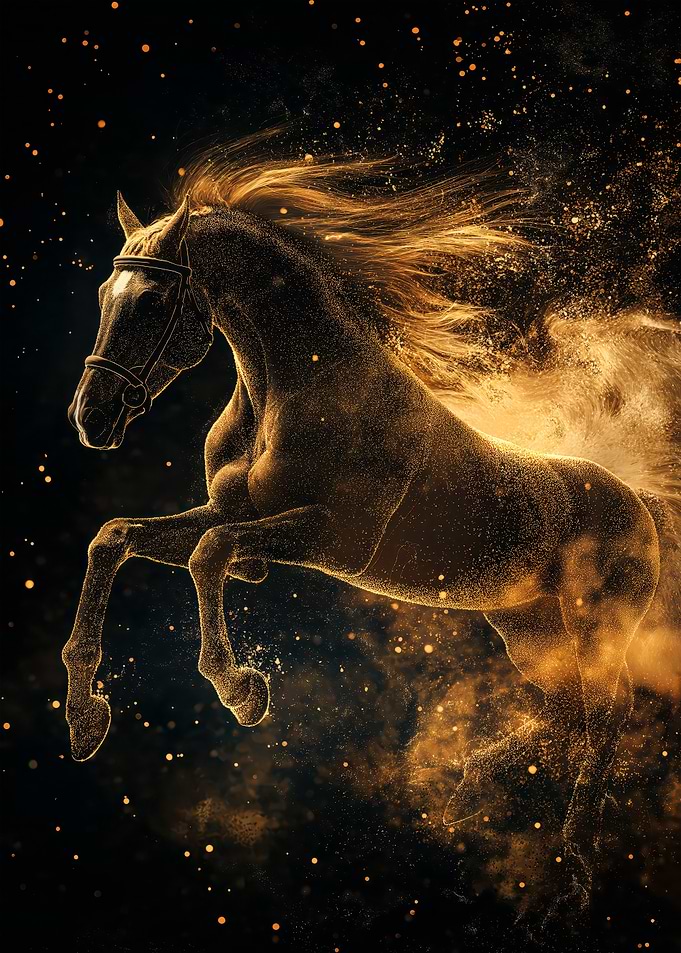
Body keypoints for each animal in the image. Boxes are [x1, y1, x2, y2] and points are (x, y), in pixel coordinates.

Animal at [63, 151, 664, 912]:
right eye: (104, 294)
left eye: (151, 301)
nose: (92, 417)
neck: (293, 392)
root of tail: (640, 509)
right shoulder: (232, 513)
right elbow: (115, 537)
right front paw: (86, 718)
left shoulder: (332, 540)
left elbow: (209, 555)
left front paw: (242, 689)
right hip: (529, 629)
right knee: (566, 710)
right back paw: (468, 793)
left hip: (594, 625)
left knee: (604, 714)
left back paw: (574, 871)